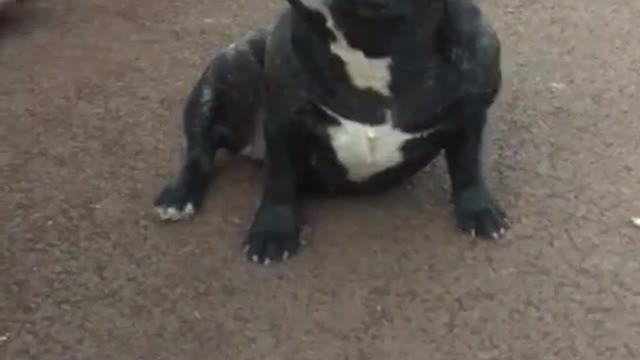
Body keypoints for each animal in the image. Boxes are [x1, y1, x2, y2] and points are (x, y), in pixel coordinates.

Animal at [154, 0, 510, 264]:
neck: (373, 46)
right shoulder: (283, 118)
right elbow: (280, 179)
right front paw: (273, 230)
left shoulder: (471, 110)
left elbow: (467, 164)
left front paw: (477, 208)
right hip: (225, 70)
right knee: (200, 150)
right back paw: (179, 196)